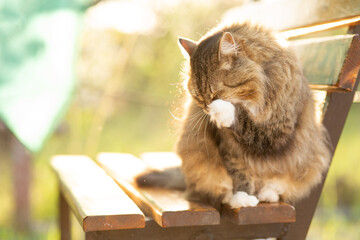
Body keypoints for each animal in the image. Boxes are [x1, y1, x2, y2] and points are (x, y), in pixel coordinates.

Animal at [139, 23, 332, 210]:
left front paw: (222, 110)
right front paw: (243, 197)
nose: (208, 109)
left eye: (215, 94)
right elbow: (240, 173)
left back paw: (268, 193)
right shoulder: (228, 146)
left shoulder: (277, 130)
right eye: (199, 97)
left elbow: (243, 120)